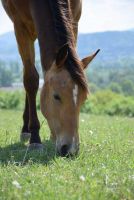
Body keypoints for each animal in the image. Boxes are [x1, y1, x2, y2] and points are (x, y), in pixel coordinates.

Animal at [1, 0, 99, 156]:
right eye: (56, 96)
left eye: (83, 99)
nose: (70, 149)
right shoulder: (20, 27)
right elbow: (31, 80)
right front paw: (35, 138)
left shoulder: (74, 20)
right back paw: (27, 130)